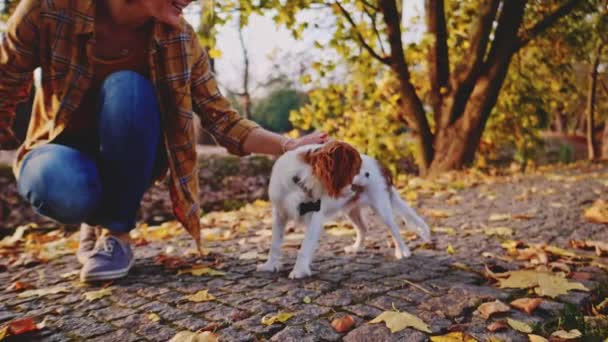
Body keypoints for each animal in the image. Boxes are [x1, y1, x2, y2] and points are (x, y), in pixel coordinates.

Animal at [256, 140, 432, 280]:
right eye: (356, 166)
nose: (368, 173)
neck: (300, 181)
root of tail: (381, 166)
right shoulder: (279, 214)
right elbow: (275, 243)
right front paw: (269, 265)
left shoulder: (315, 217)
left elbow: (304, 247)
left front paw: (299, 271)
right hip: (351, 210)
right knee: (363, 228)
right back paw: (356, 248)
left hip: (381, 207)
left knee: (394, 229)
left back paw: (402, 251)